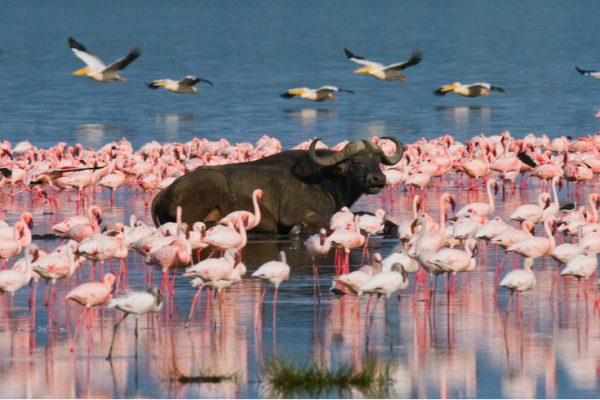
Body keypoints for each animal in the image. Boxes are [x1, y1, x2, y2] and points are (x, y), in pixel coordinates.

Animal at [150, 137, 404, 234]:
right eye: (357, 162)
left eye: (377, 160)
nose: (378, 179)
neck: (325, 179)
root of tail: (165, 192)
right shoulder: (298, 214)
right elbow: (325, 224)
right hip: (211, 185)